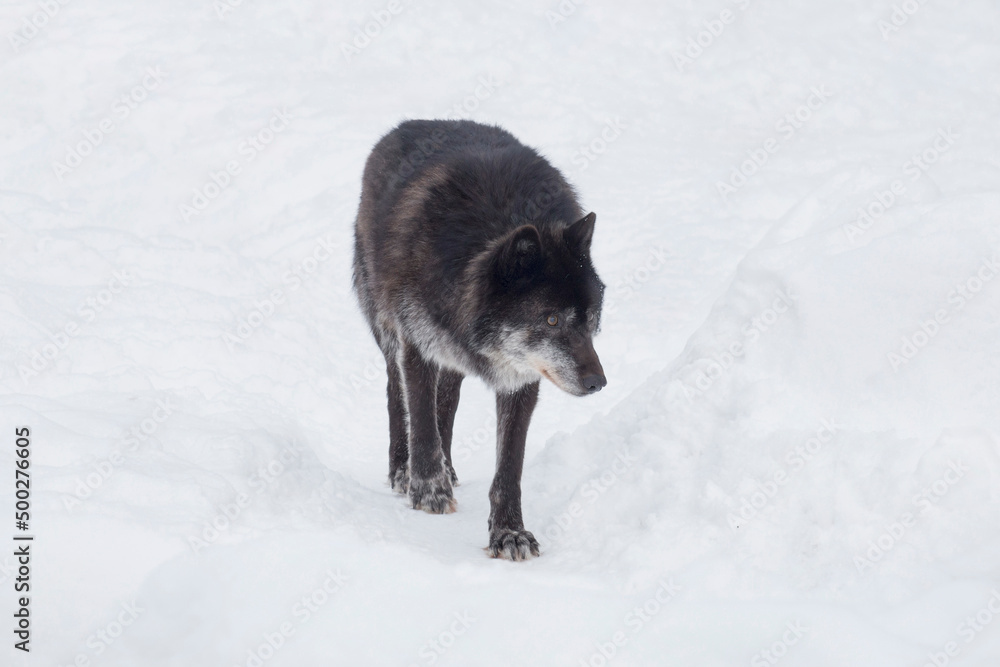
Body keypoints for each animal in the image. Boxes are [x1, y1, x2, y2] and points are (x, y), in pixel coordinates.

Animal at [352, 119, 606, 560]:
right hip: (388, 329)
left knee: (449, 397)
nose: (598, 383)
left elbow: (509, 467)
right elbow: (420, 419)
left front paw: (509, 532)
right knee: (396, 393)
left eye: (592, 318)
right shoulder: (416, 342)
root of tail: (411, 124)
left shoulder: (521, 377)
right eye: (552, 319)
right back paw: (404, 469)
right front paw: (428, 489)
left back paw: (448, 466)